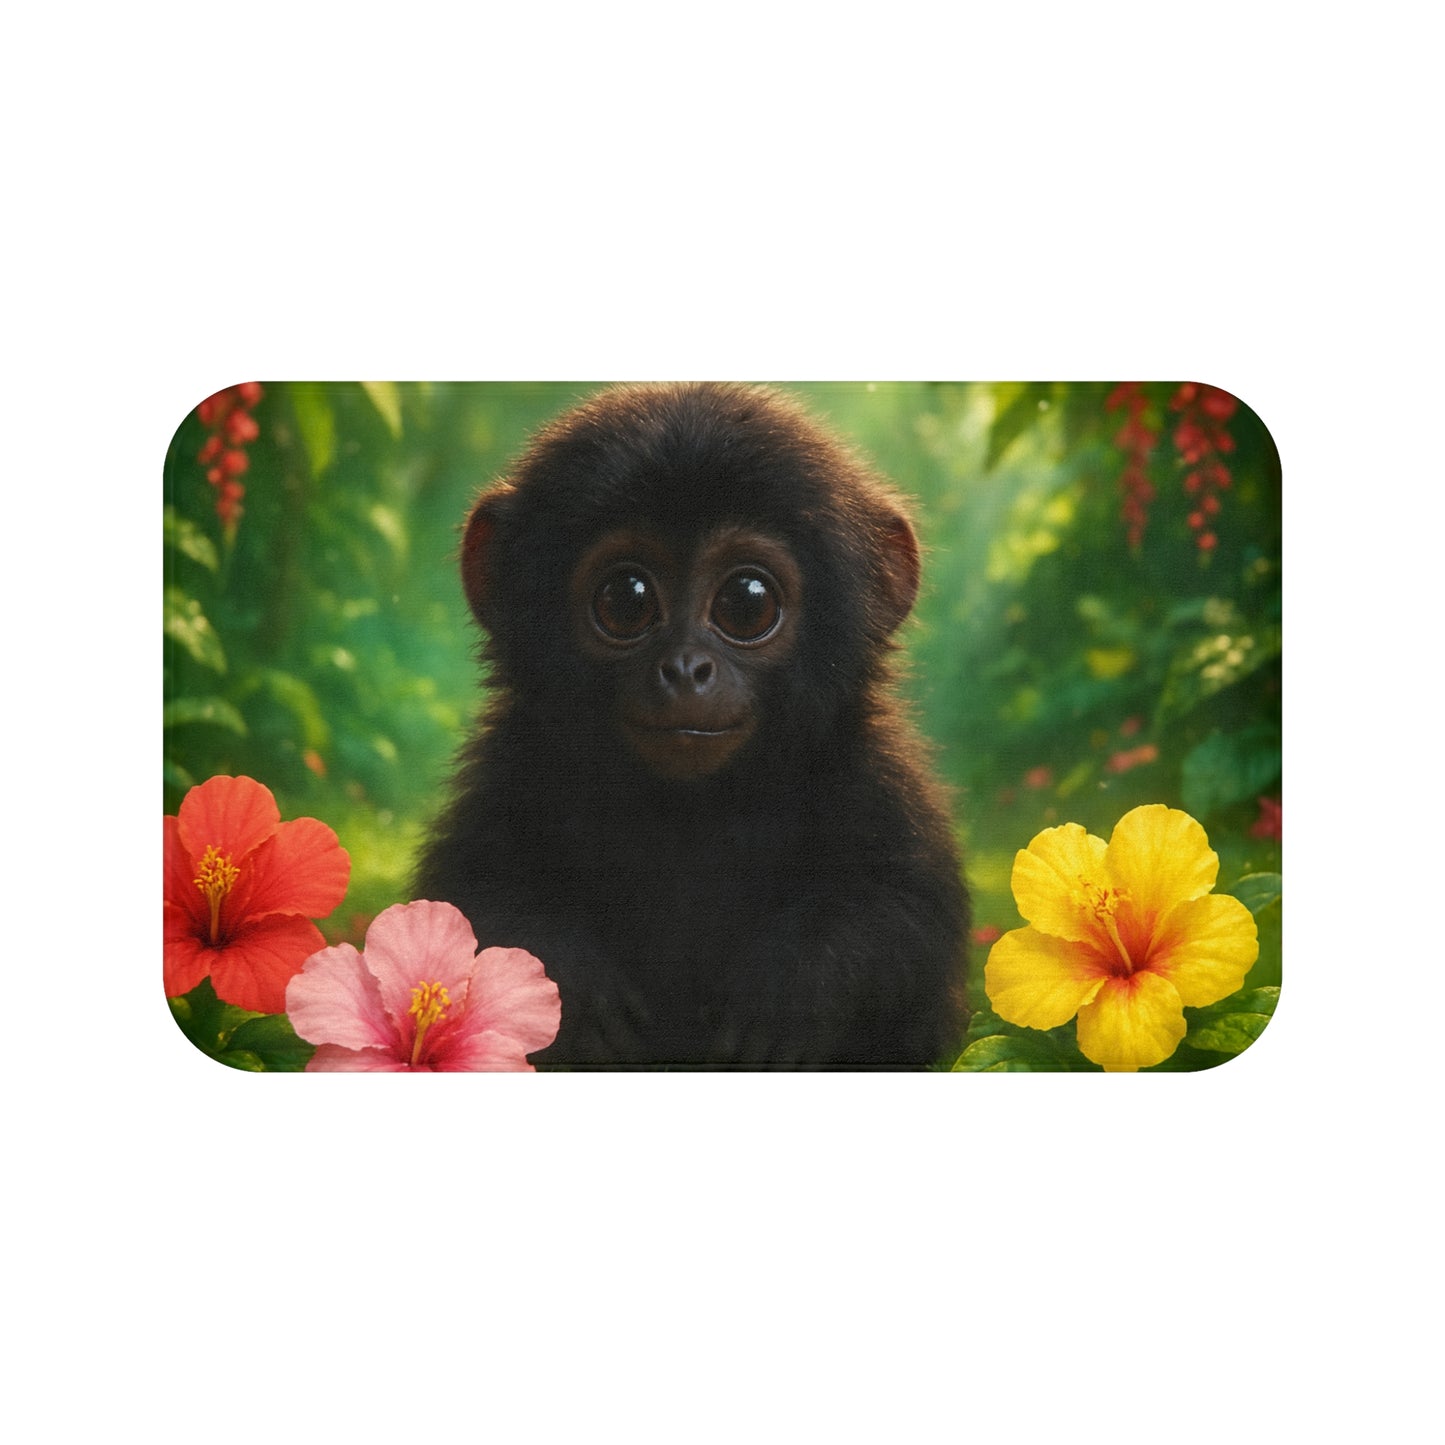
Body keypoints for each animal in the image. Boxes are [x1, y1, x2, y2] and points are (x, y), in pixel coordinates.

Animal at [413, 382, 968, 1068]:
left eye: (747, 601)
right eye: (625, 598)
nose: (685, 668)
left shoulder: (878, 781)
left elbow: (907, 918)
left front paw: (798, 981)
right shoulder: (509, 773)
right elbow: (472, 899)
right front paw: (571, 982)